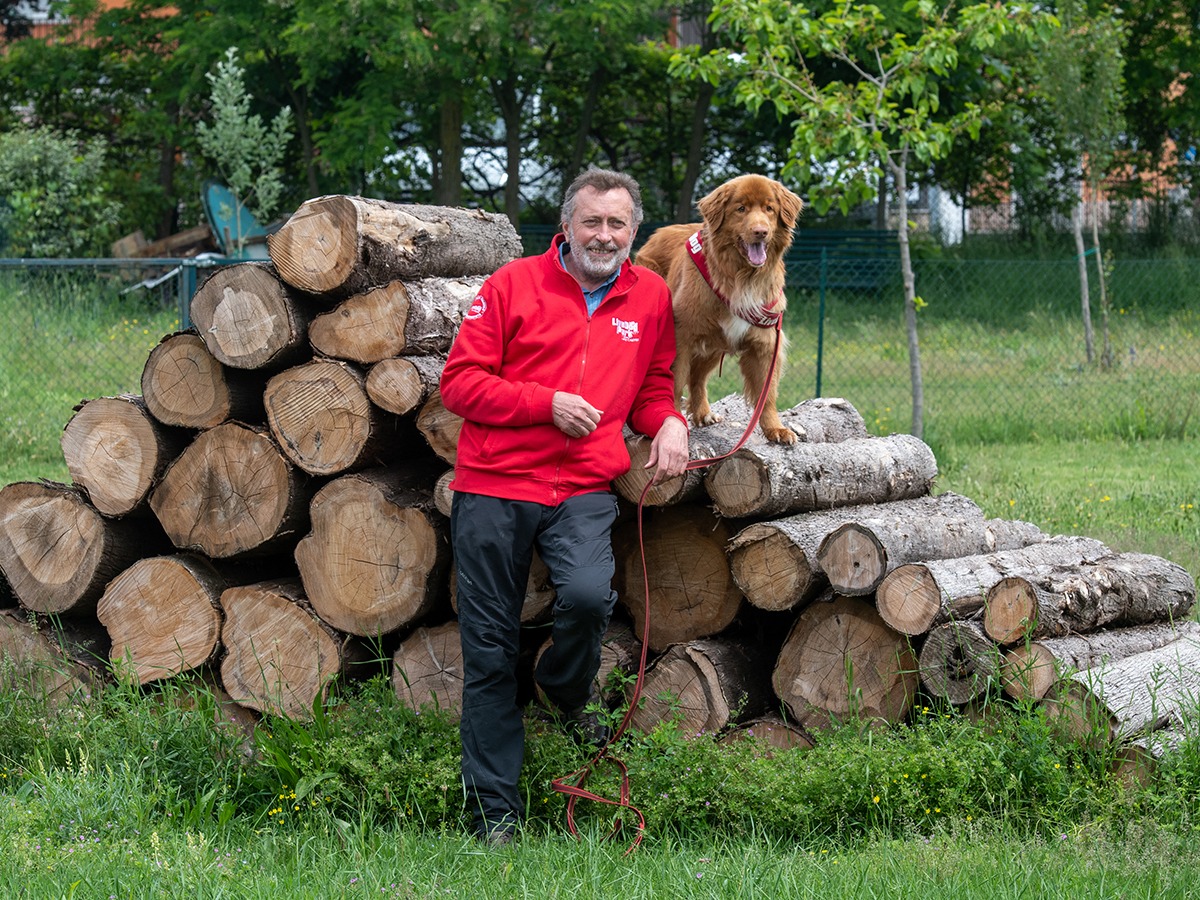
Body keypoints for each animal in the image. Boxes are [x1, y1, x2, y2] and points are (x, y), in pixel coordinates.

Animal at [633, 172, 801, 444]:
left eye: (769, 209)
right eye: (741, 209)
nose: (761, 231)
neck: (741, 277)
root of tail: (659, 231)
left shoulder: (764, 342)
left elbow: (767, 392)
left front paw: (775, 428)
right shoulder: (681, 335)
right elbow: (674, 383)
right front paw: (673, 424)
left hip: (714, 342)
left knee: (698, 377)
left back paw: (703, 413)